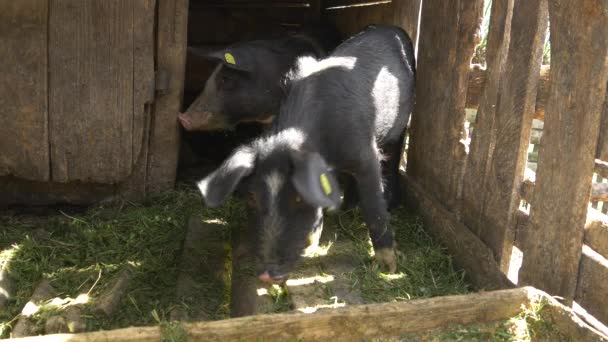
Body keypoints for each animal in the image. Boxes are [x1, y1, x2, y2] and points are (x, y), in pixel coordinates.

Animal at [197, 24, 416, 284]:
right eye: (251, 198)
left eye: (299, 199)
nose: (268, 275)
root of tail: (393, 28)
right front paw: (312, 245)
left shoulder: (365, 153)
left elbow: (374, 206)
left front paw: (388, 268)